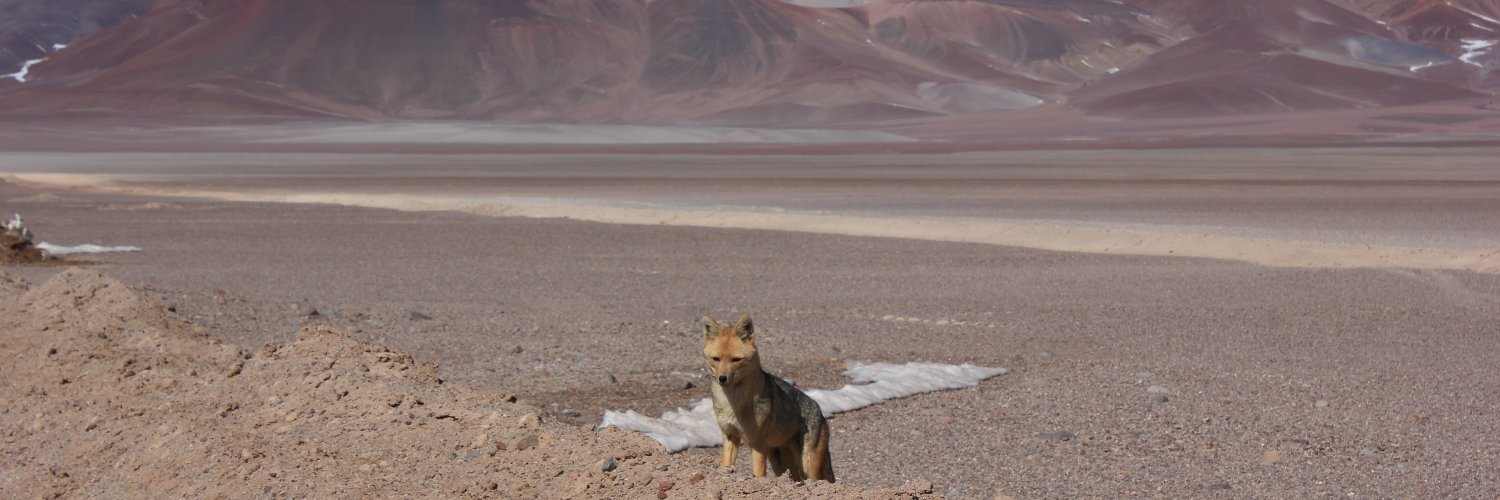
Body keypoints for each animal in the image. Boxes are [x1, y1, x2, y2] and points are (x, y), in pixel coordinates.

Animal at [699, 313, 834, 480]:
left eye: (736, 359)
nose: (722, 378)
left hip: (808, 467)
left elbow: (758, 473)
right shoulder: (730, 434)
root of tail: (821, 414)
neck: (733, 404)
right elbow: (726, 463)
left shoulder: (757, 444)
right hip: (780, 466)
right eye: (716, 359)